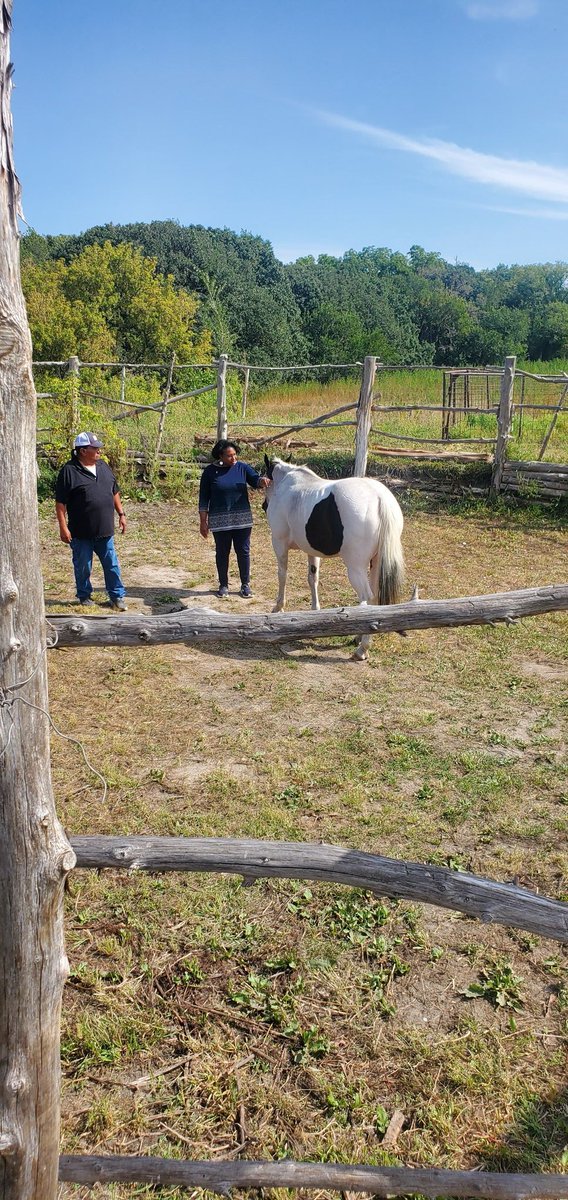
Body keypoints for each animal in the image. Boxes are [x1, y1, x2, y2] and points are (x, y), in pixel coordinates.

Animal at [263, 456, 405, 660]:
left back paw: (362, 648)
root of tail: (380, 498)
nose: (263, 506)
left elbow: (282, 575)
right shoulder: (312, 551)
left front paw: (278, 607)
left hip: (356, 568)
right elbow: (312, 578)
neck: (286, 485)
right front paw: (315, 612)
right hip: (376, 564)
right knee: (374, 598)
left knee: (367, 597)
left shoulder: (279, 543)